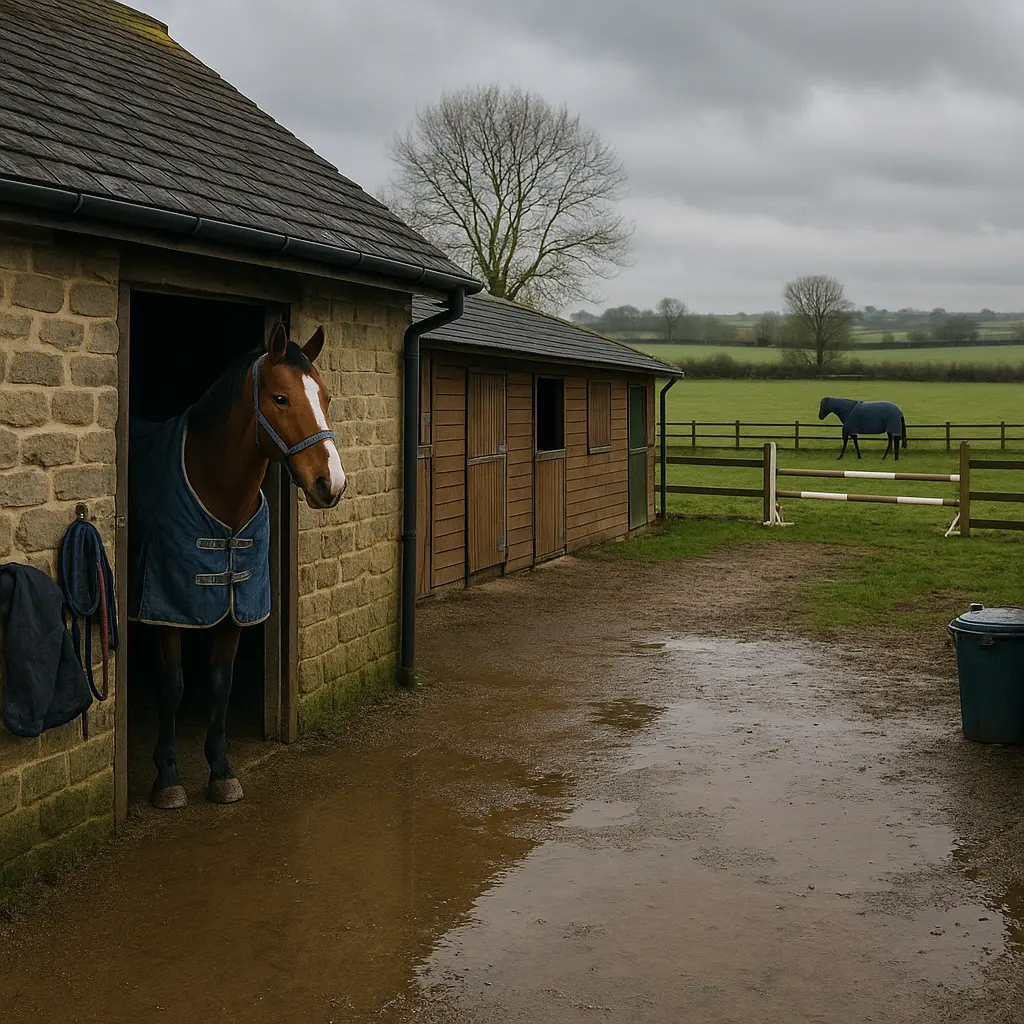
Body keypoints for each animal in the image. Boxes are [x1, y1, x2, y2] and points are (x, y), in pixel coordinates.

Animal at [128, 324, 345, 810]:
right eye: (280, 398)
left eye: (324, 396)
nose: (332, 483)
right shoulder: (168, 611)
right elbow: (172, 687)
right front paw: (167, 778)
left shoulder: (235, 606)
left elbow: (220, 683)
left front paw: (221, 770)